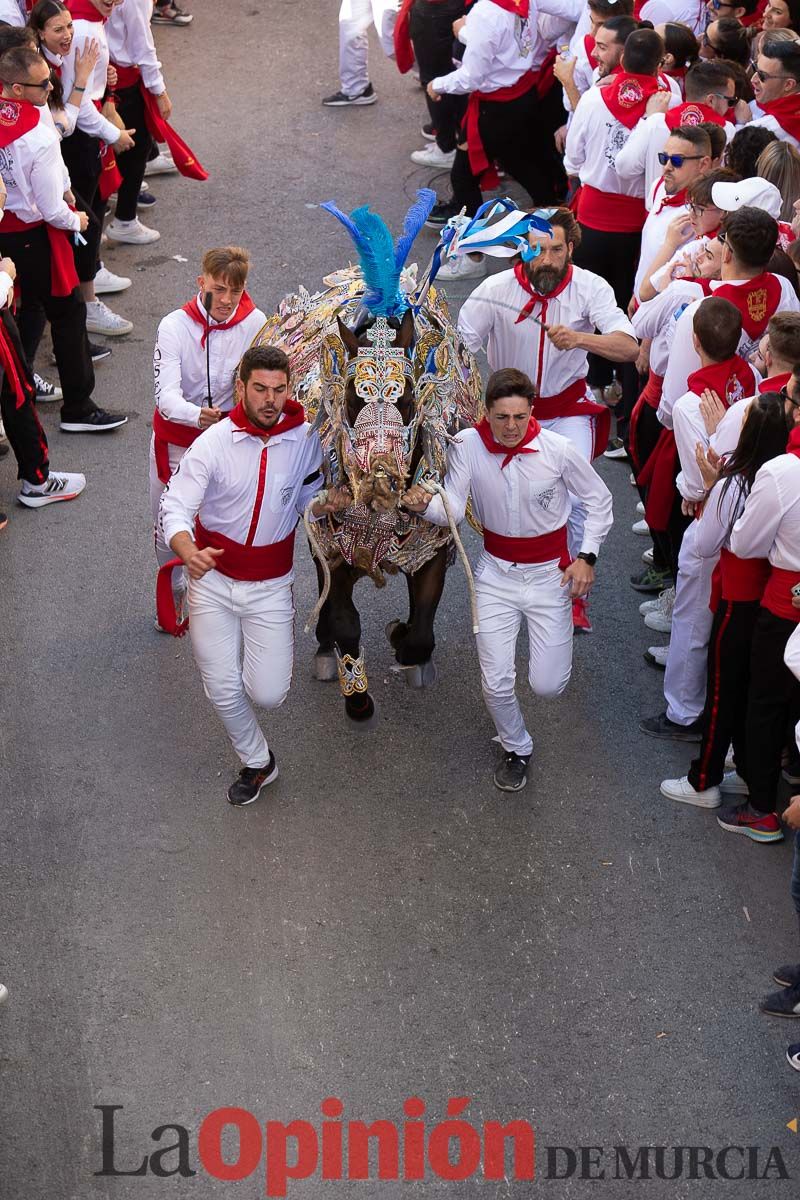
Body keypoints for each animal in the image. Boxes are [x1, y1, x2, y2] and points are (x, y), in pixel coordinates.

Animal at [253, 192, 554, 724]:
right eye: (353, 399)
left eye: (408, 397)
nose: (381, 478)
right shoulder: (333, 543)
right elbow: (343, 617)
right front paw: (356, 693)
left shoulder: (434, 545)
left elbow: (421, 629)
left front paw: (403, 642)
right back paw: (327, 650)